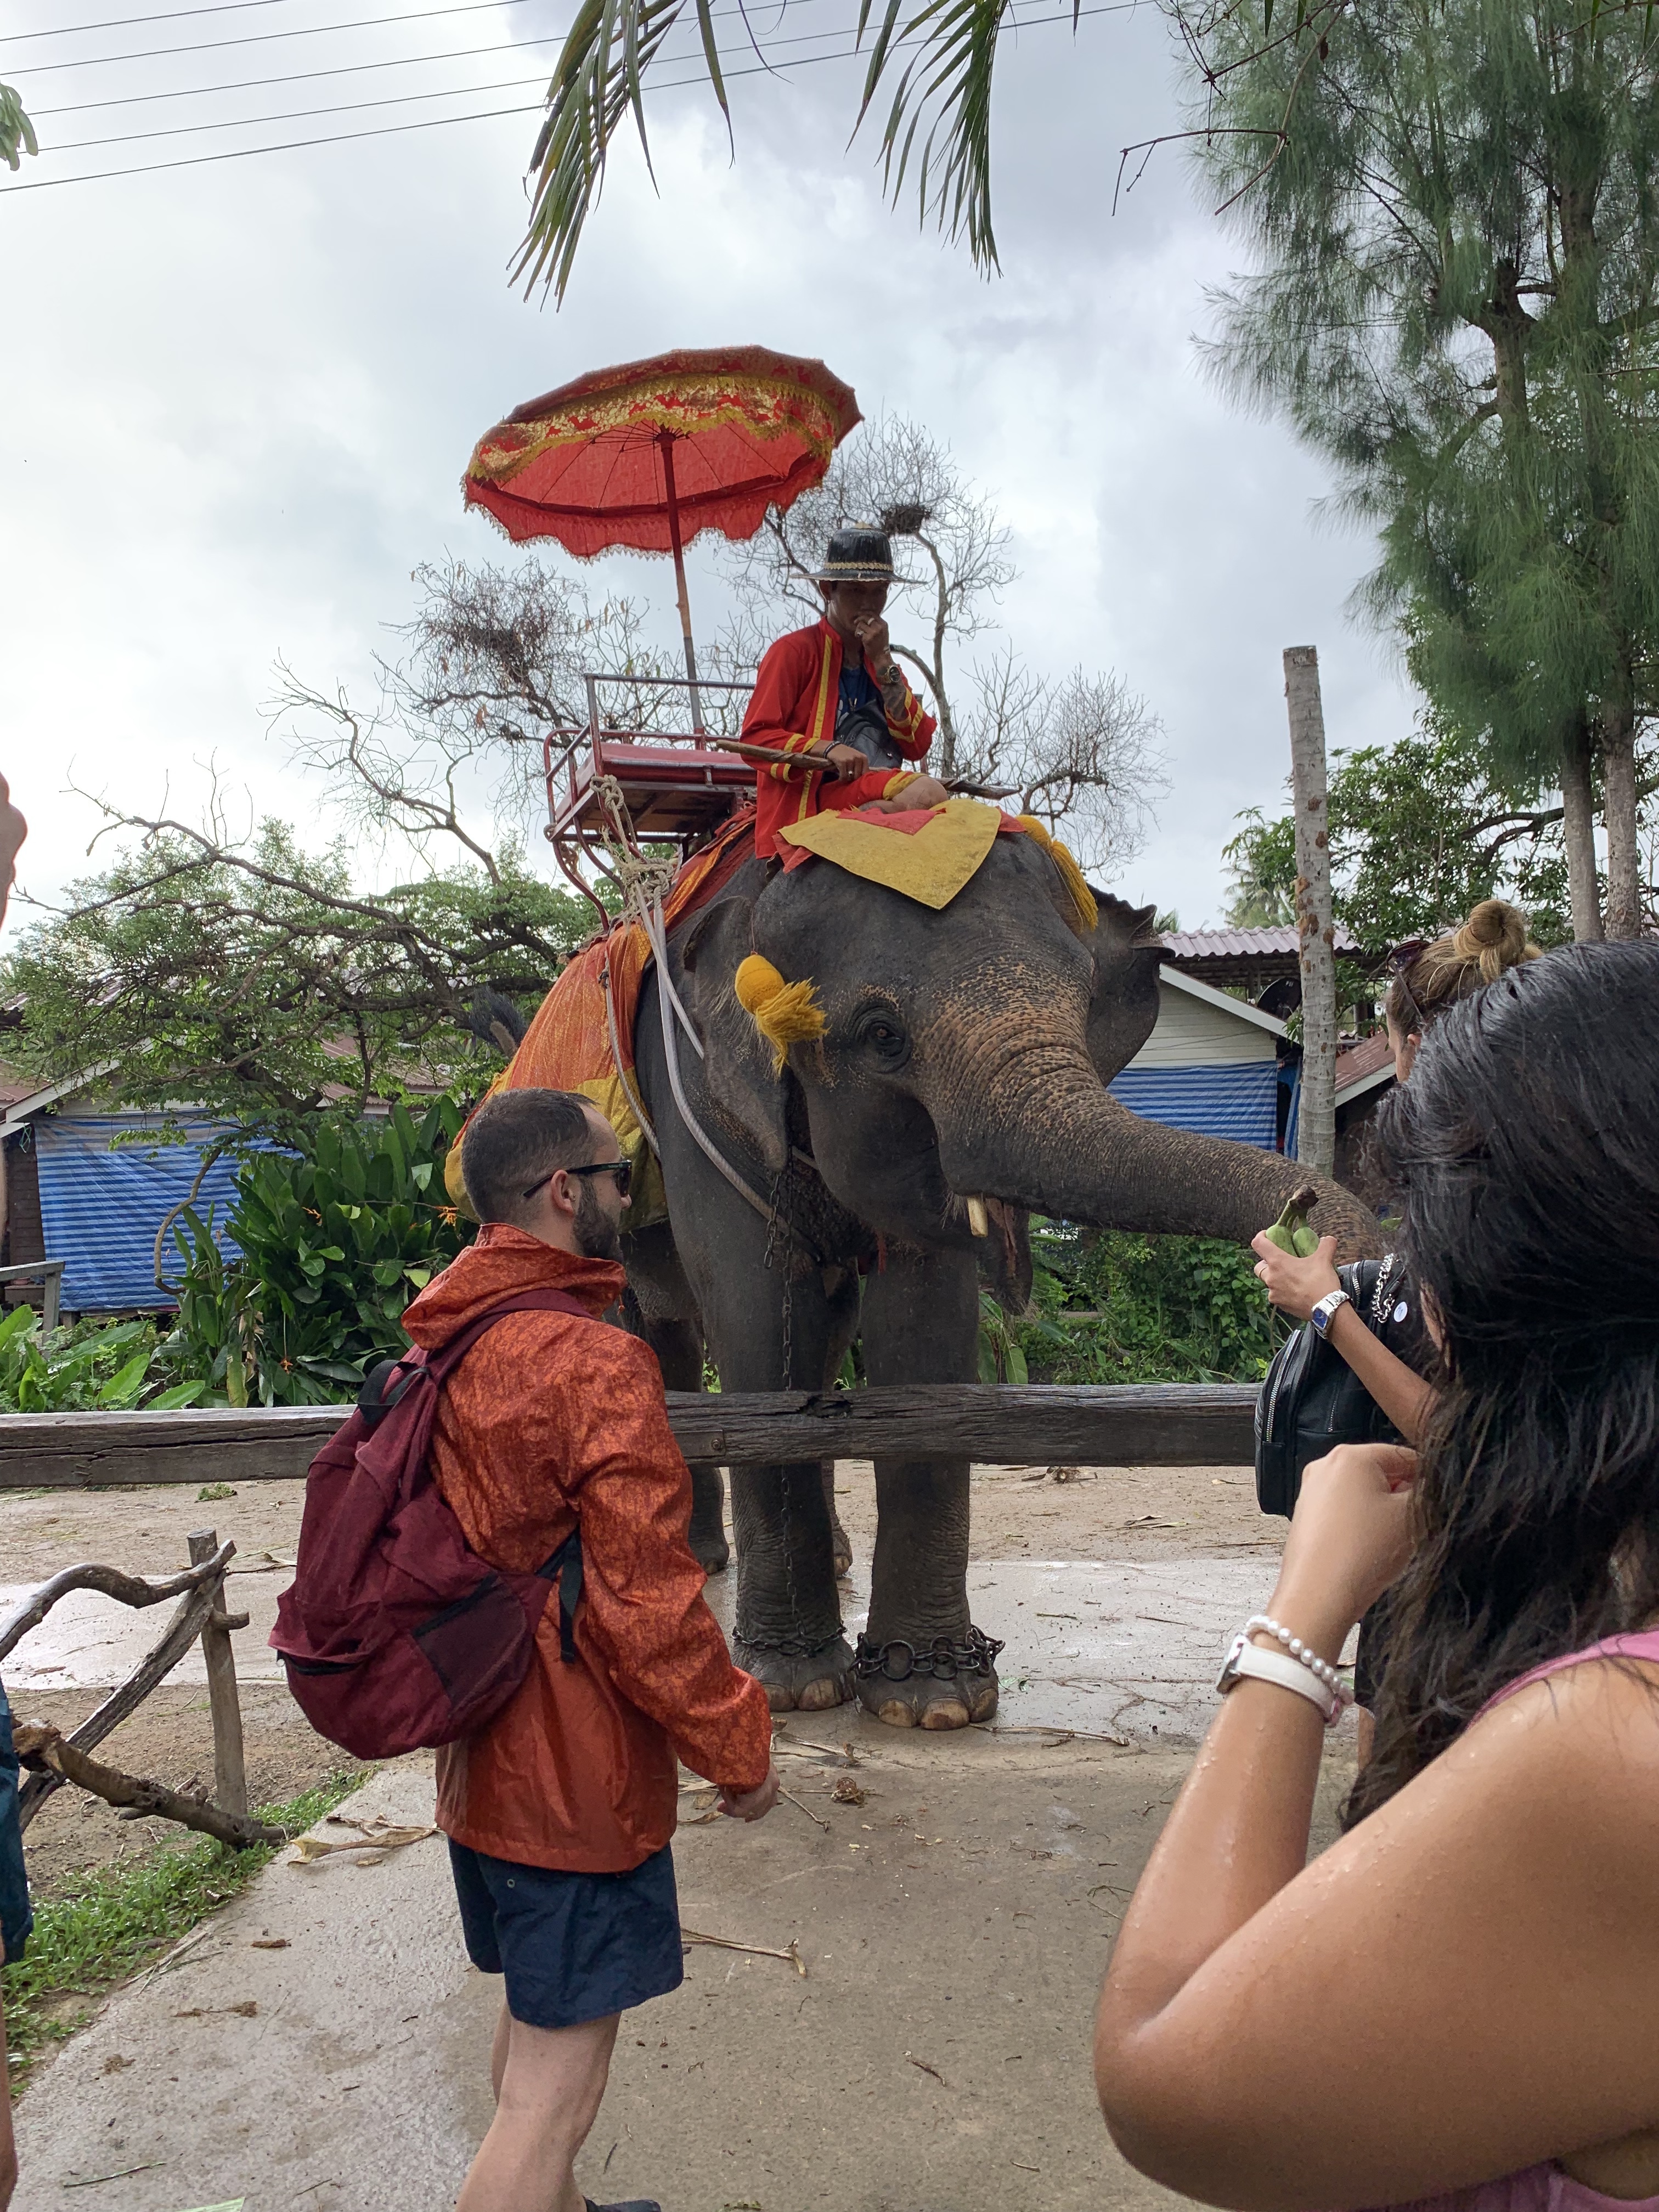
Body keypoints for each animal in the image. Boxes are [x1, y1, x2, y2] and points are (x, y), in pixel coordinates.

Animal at [619, 827, 1380, 1725]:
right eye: (882, 1035)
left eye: (1084, 1002)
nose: (1304, 1212)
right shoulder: (700, 1104)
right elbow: (762, 1316)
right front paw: (797, 1691)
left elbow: (924, 1322)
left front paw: (931, 1702)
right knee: (669, 1332)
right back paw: (695, 1564)